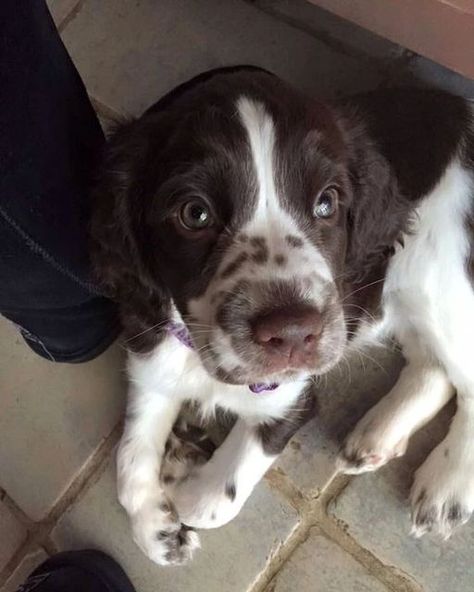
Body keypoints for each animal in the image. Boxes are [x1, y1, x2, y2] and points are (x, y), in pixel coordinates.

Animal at [90, 65, 472, 564]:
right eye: (194, 213)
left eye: (327, 203)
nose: (291, 334)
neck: (200, 357)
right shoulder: (151, 357)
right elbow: (129, 456)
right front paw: (157, 528)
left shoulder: (290, 397)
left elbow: (210, 502)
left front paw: (181, 472)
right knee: (434, 366)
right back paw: (376, 438)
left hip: (439, 276)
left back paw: (447, 489)